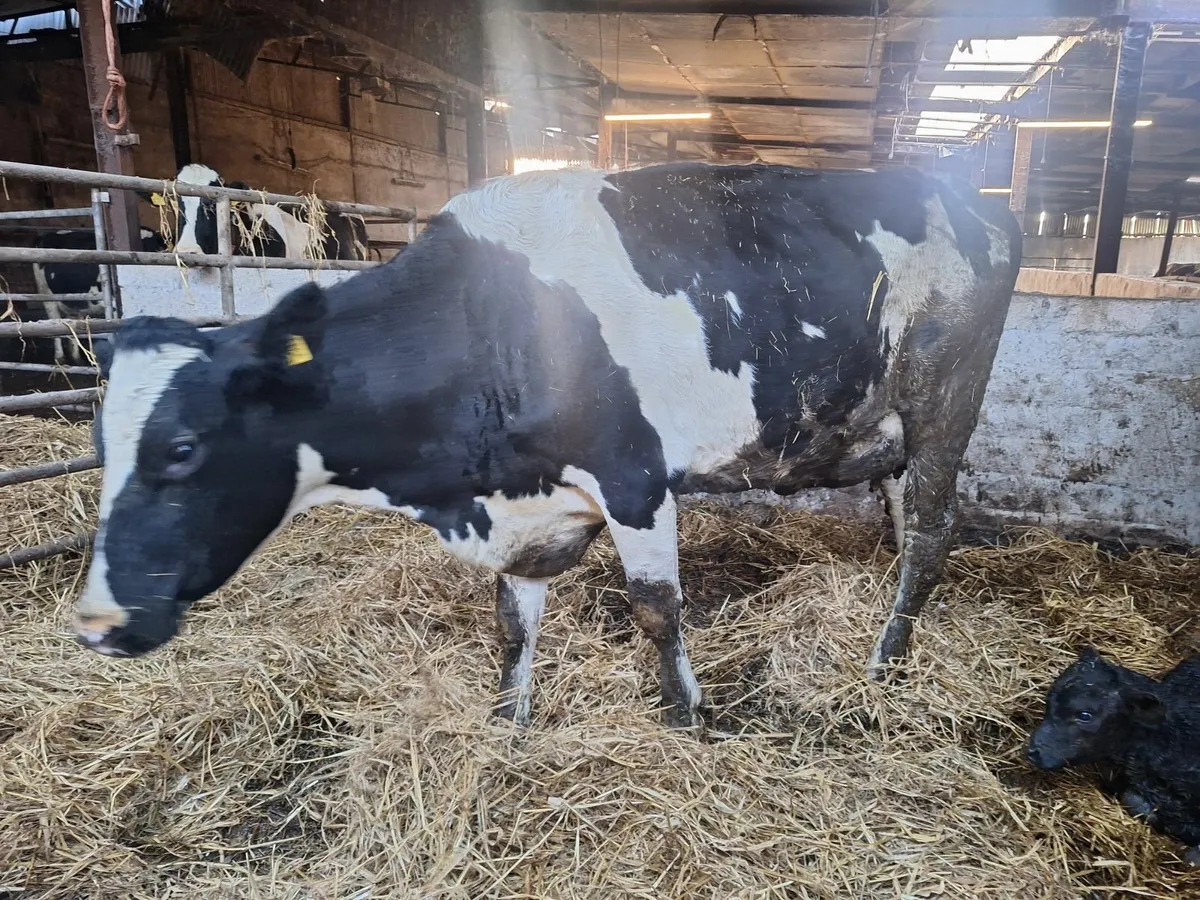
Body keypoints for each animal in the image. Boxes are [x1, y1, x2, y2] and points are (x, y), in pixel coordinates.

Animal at [32, 227, 167, 363]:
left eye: (157, 246)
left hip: (73, 301)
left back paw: (77, 358)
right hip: (45, 294)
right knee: (53, 322)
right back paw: (60, 358)